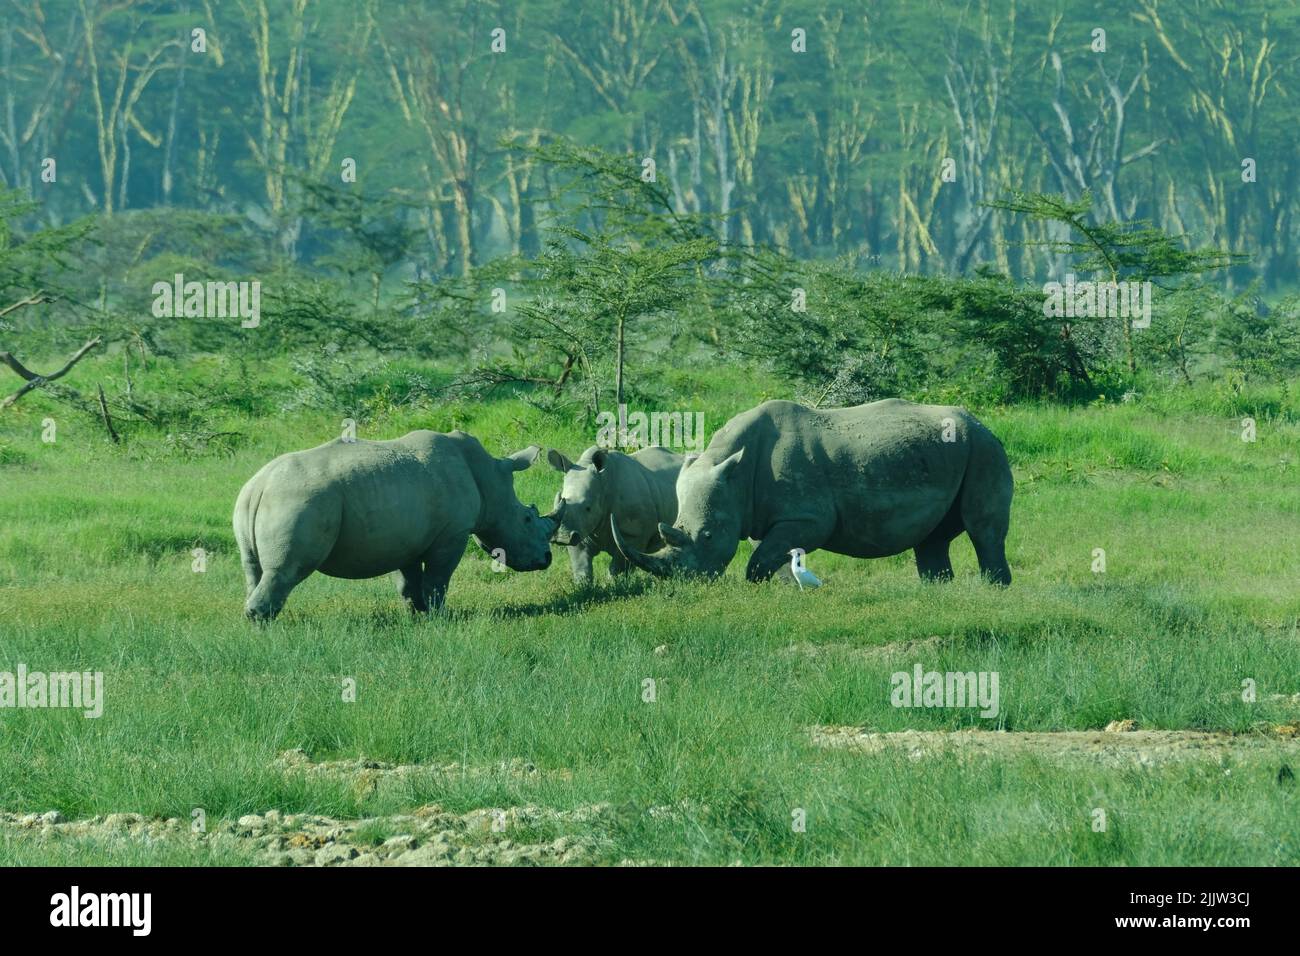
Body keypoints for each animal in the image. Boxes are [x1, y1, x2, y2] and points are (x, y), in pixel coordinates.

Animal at [233, 431, 559, 621]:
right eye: (527, 519)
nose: (546, 559)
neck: (490, 480)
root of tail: (259, 487)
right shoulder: (452, 533)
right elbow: (438, 579)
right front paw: (439, 617)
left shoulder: (408, 537)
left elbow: (408, 582)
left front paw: (416, 614)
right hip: (298, 502)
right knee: (285, 572)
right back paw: (266, 631)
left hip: (253, 504)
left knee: (252, 568)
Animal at [546, 447, 686, 587]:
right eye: (560, 500)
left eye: (588, 508)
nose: (562, 537)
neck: (603, 484)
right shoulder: (579, 530)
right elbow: (581, 565)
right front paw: (583, 586)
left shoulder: (633, 534)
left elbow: (618, 566)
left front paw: (613, 585)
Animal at [613, 395, 1008, 582]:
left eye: (708, 535)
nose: (687, 582)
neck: (734, 469)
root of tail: (982, 422)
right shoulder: (760, 515)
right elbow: (770, 555)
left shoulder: (808, 518)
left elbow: (760, 561)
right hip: (951, 452)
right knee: (932, 538)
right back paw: (937, 590)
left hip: (984, 449)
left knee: (984, 530)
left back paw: (993, 589)